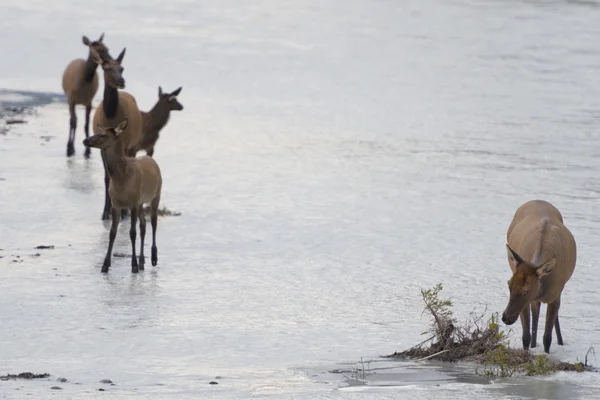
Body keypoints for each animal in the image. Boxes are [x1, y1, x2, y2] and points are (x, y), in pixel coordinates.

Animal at [82, 117, 162, 274]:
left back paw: (153, 258)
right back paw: (142, 261)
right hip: (141, 202)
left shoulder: (133, 202)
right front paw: (105, 265)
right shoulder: (117, 203)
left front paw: (133, 265)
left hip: (156, 195)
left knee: (153, 222)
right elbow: (112, 232)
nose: (85, 140)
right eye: (97, 131)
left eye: (103, 135)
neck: (121, 179)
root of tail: (152, 160)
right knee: (143, 225)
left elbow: (132, 232)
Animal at [89, 48, 144, 222]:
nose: (121, 81)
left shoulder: (125, 144)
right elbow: (107, 177)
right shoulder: (101, 146)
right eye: (106, 68)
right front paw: (105, 212)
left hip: (133, 145)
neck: (111, 116)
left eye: (122, 68)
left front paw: (123, 211)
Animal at [502, 200, 576, 354]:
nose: (506, 318)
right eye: (509, 284)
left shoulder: (554, 295)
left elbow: (547, 337)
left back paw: (560, 341)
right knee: (535, 313)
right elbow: (526, 335)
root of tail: (537, 200)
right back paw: (534, 345)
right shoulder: (529, 300)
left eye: (526, 290)